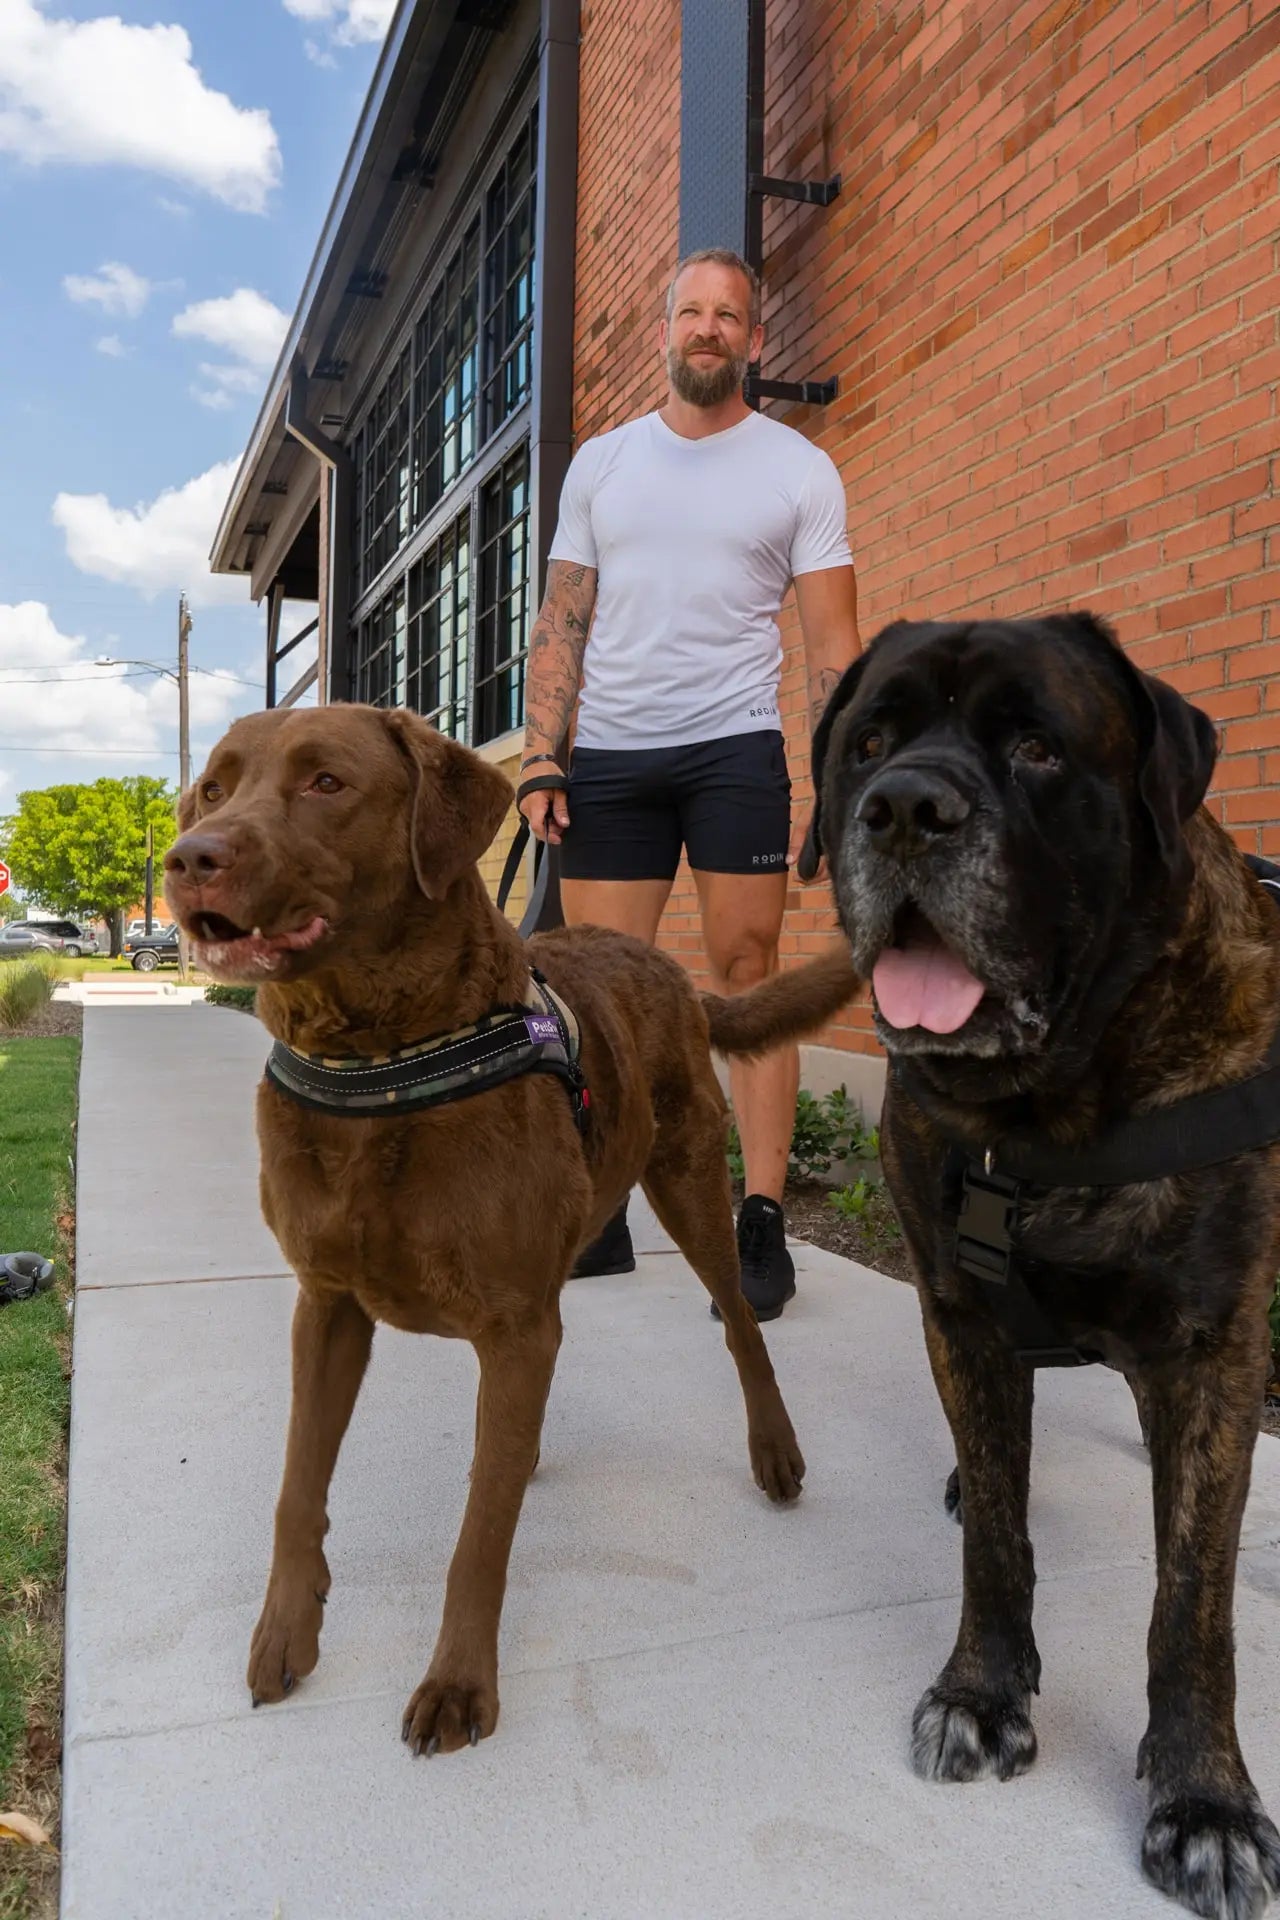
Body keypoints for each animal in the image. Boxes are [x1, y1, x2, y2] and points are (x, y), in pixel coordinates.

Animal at [163, 706, 859, 1758]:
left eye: (326, 783)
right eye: (213, 786)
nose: (188, 858)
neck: (381, 1063)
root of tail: (669, 968)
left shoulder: (512, 1323)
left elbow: (480, 1532)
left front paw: (458, 1683)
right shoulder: (326, 1305)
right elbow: (297, 1486)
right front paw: (285, 1632)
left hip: (689, 1180)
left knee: (741, 1325)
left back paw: (773, 1449)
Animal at [802, 614, 1280, 1920]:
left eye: (1035, 748)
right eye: (868, 745)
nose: (902, 810)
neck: (1049, 1104)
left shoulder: (1210, 1348)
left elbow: (1191, 1601)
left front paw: (1203, 1802)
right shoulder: (956, 1319)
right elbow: (996, 1535)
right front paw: (981, 1692)